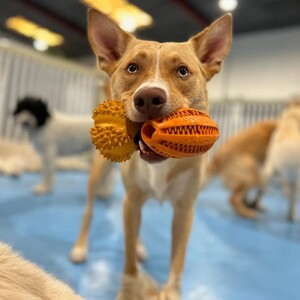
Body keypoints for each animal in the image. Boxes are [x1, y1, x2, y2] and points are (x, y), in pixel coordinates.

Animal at [71, 8, 231, 298]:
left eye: (183, 71)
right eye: (132, 68)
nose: (148, 98)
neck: (161, 163)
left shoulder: (184, 210)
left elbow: (177, 262)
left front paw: (171, 292)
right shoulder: (132, 201)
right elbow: (128, 261)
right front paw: (128, 289)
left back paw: (140, 245)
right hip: (99, 173)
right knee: (89, 210)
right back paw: (80, 246)